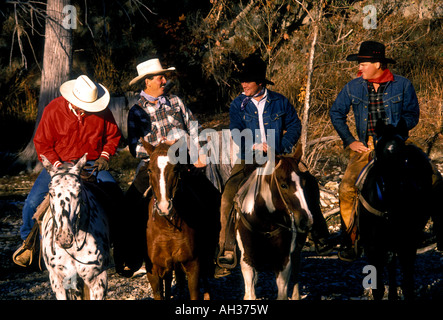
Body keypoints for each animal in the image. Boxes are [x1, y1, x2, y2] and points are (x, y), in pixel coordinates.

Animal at [140, 140, 220, 300]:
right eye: (150, 170)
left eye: (176, 169)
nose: (164, 206)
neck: (167, 227)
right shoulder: (154, 272)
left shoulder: (193, 265)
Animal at [234, 145, 314, 300]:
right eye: (283, 185)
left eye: (303, 183)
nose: (306, 220)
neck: (264, 221)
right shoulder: (247, 260)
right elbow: (250, 294)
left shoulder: (283, 260)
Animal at [360, 120, 436, 300]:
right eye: (379, 149)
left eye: (402, 153)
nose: (392, 188)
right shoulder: (372, 245)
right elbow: (378, 287)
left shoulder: (407, 241)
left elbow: (407, 282)